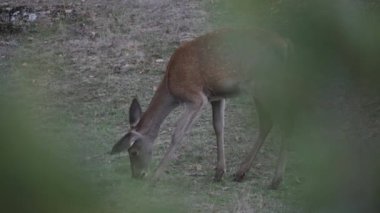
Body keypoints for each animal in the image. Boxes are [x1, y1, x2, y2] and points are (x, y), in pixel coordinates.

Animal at [110, 27, 294, 189]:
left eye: (133, 151)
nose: (137, 176)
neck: (171, 87)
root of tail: (286, 46)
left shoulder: (195, 97)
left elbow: (178, 133)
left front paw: (155, 178)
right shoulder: (216, 96)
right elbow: (218, 127)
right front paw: (219, 172)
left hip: (265, 85)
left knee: (284, 121)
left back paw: (276, 180)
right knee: (267, 122)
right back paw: (241, 172)